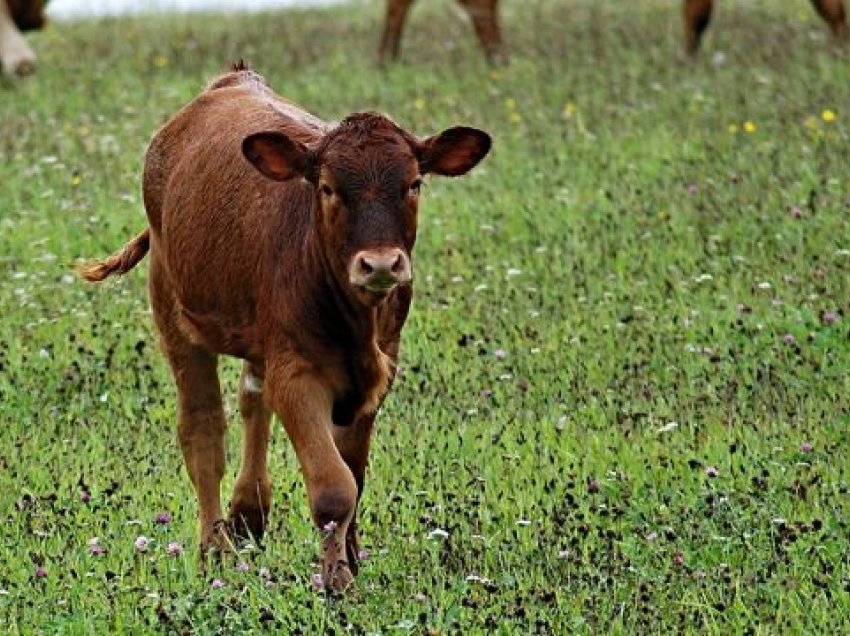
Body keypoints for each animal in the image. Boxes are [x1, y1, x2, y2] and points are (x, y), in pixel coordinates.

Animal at [81, 64, 490, 592]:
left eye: (415, 183)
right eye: (328, 188)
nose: (380, 264)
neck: (354, 321)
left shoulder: (379, 370)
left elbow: (355, 473)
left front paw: (351, 558)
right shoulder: (298, 373)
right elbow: (334, 487)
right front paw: (338, 583)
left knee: (253, 399)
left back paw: (248, 513)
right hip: (172, 308)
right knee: (203, 429)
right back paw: (214, 548)